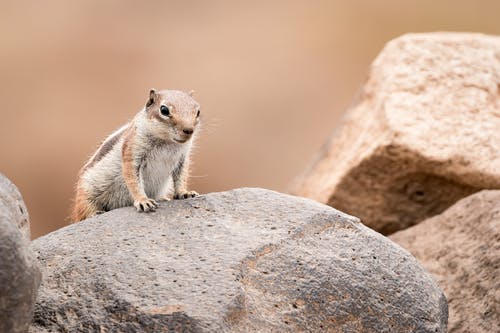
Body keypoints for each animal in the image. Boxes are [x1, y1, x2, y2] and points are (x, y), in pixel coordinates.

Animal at [71, 89, 200, 222]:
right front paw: (143, 201)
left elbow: (181, 176)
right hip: (86, 192)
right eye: (164, 110)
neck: (167, 142)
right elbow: (133, 180)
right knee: (85, 209)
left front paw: (185, 192)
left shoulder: (183, 158)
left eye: (198, 112)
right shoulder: (132, 152)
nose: (189, 130)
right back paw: (95, 213)